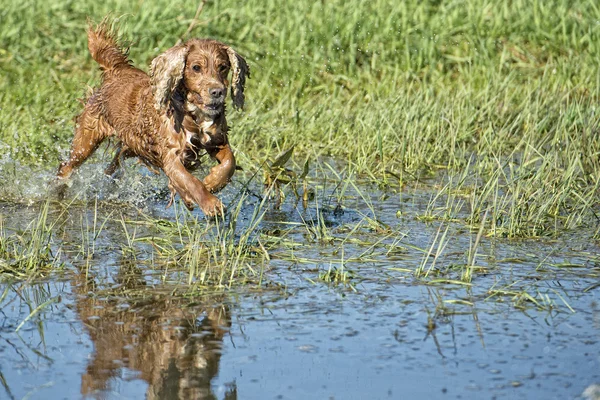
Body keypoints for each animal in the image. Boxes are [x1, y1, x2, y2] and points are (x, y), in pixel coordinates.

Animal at [58, 21, 248, 216]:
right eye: (196, 67)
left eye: (223, 67)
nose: (217, 92)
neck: (194, 113)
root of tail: (116, 70)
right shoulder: (172, 156)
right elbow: (191, 181)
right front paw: (210, 203)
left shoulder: (217, 139)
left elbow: (230, 162)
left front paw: (213, 182)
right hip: (87, 140)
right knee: (66, 166)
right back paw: (59, 190)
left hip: (132, 145)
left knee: (112, 165)